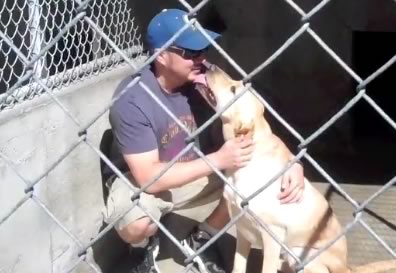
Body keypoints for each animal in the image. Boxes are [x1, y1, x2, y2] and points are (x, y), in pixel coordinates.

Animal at [196, 64, 396, 272]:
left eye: (234, 89)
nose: (209, 65)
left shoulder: (272, 235)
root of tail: (346, 267)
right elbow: (238, 266)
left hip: (300, 253)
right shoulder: (243, 231)